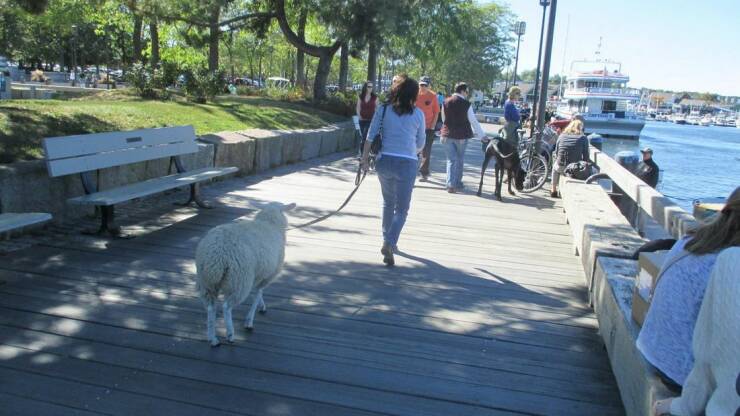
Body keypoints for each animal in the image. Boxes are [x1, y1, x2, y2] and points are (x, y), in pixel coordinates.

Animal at [195, 203, 296, 346]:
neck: (269, 223)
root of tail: (215, 257)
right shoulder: (268, 275)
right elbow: (258, 294)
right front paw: (249, 321)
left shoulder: (259, 275)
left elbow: (258, 293)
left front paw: (262, 306)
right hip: (239, 280)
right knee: (226, 307)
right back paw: (230, 334)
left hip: (206, 282)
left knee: (210, 308)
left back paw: (213, 339)